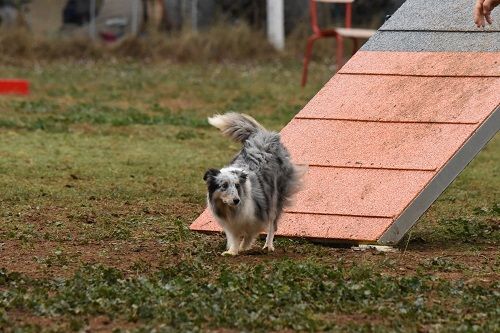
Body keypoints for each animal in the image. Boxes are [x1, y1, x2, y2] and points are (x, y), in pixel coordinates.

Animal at [203, 113, 304, 255]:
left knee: (273, 225)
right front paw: (232, 251)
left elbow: (250, 233)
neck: (232, 209)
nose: (236, 200)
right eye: (224, 186)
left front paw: (243, 247)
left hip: (275, 199)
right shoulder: (231, 224)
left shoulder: (259, 214)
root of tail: (264, 135)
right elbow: (234, 237)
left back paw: (268, 246)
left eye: (237, 185)